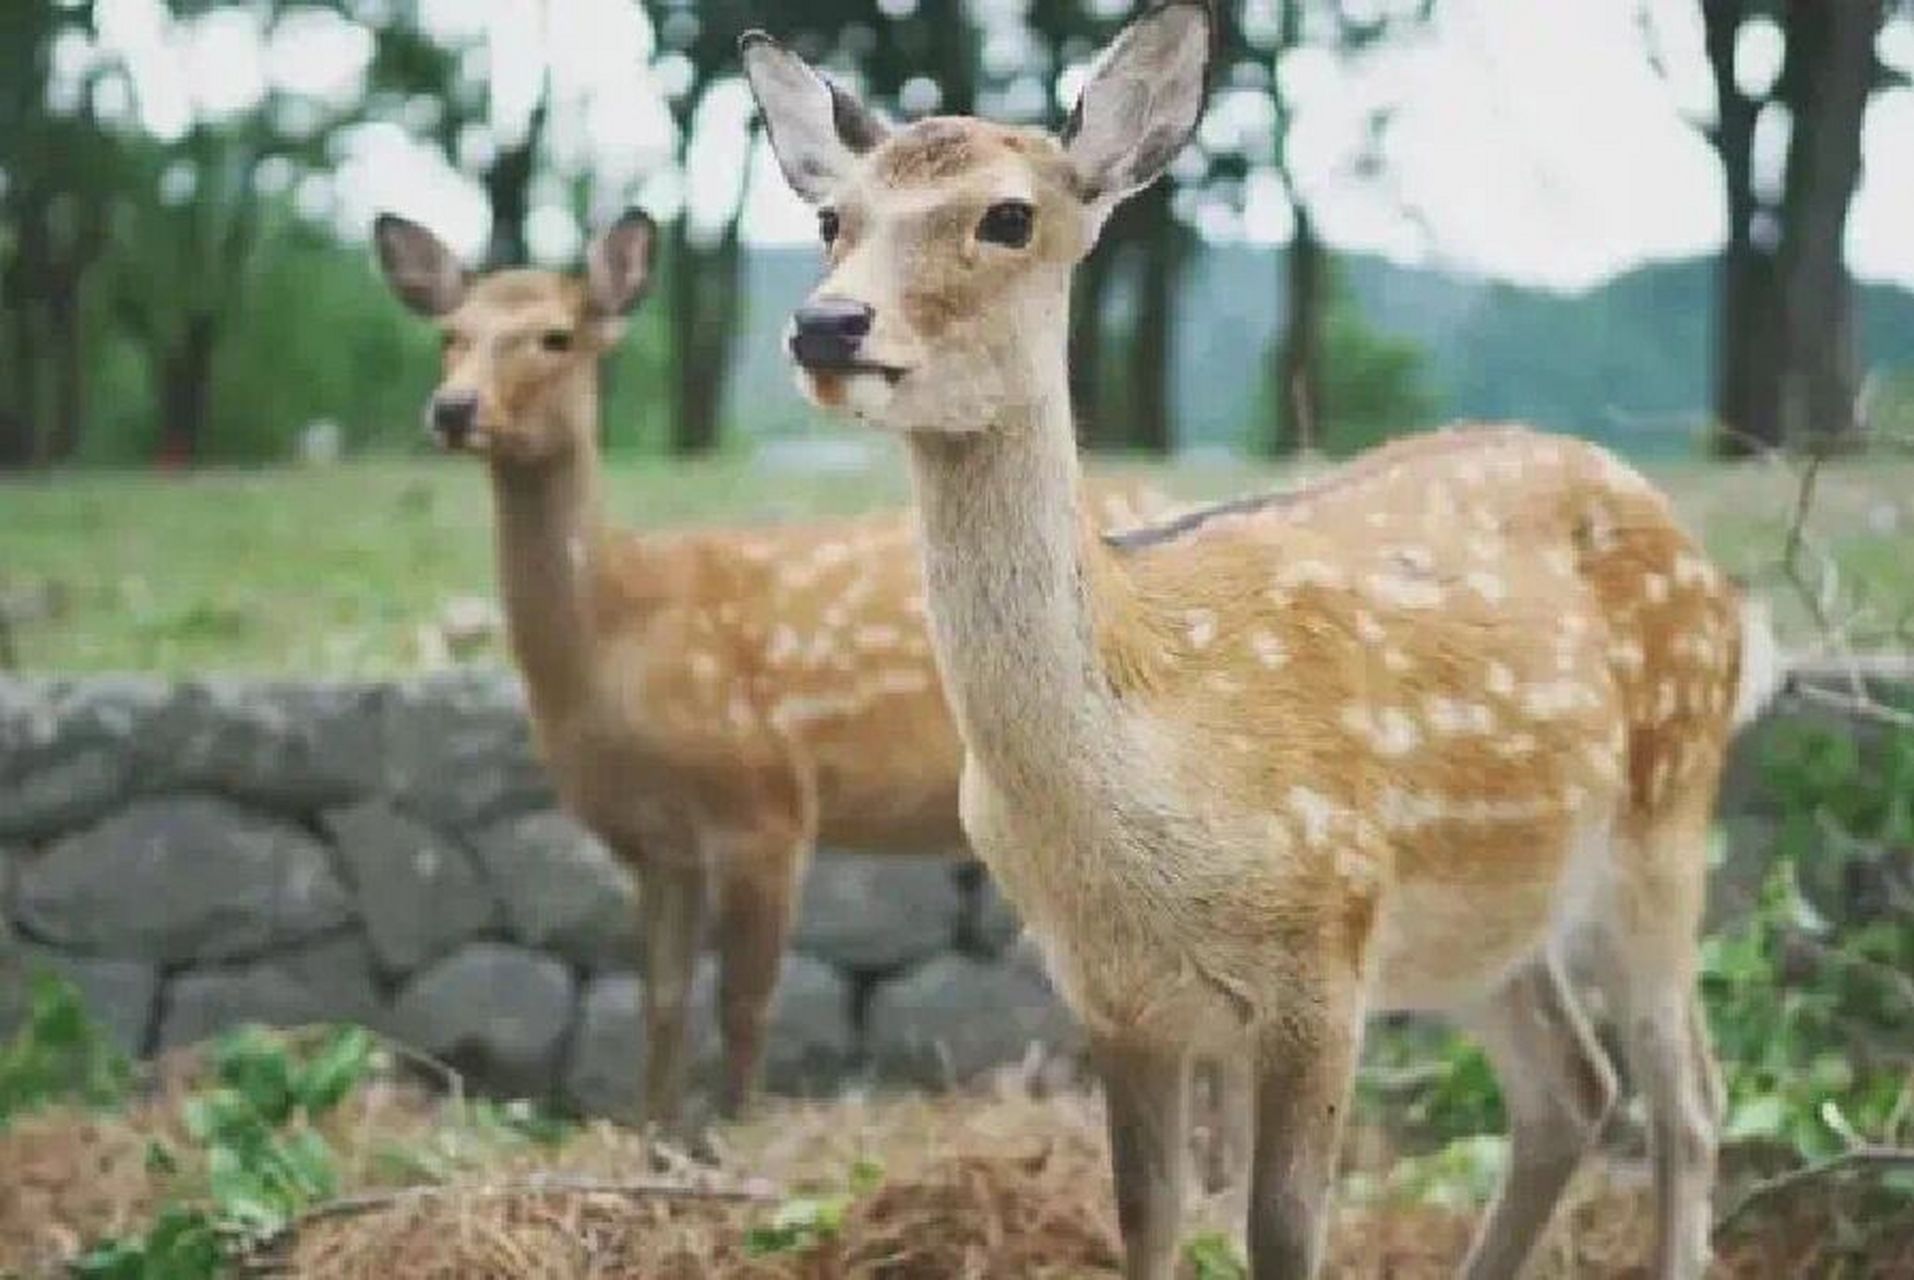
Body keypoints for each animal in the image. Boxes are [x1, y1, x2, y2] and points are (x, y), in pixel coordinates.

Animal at [363, 212, 1156, 1140]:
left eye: (555, 337)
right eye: (450, 335)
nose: (453, 408)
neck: (618, 637)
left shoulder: (765, 803)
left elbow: (746, 1003)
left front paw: (733, 1134)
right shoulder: (654, 842)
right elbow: (662, 1000)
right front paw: (655, 1136)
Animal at [738, 4, 1783, 1270]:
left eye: (1007, 215)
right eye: (830, 218)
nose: (827, 322)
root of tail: (1725, 592)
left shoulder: (1320, 948)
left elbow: (1281, 1228)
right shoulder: (1111, 990)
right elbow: (1149, 1216)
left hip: (1665, 818)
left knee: (1689, 1094)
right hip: (1483, 914)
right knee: (1571, 1088)